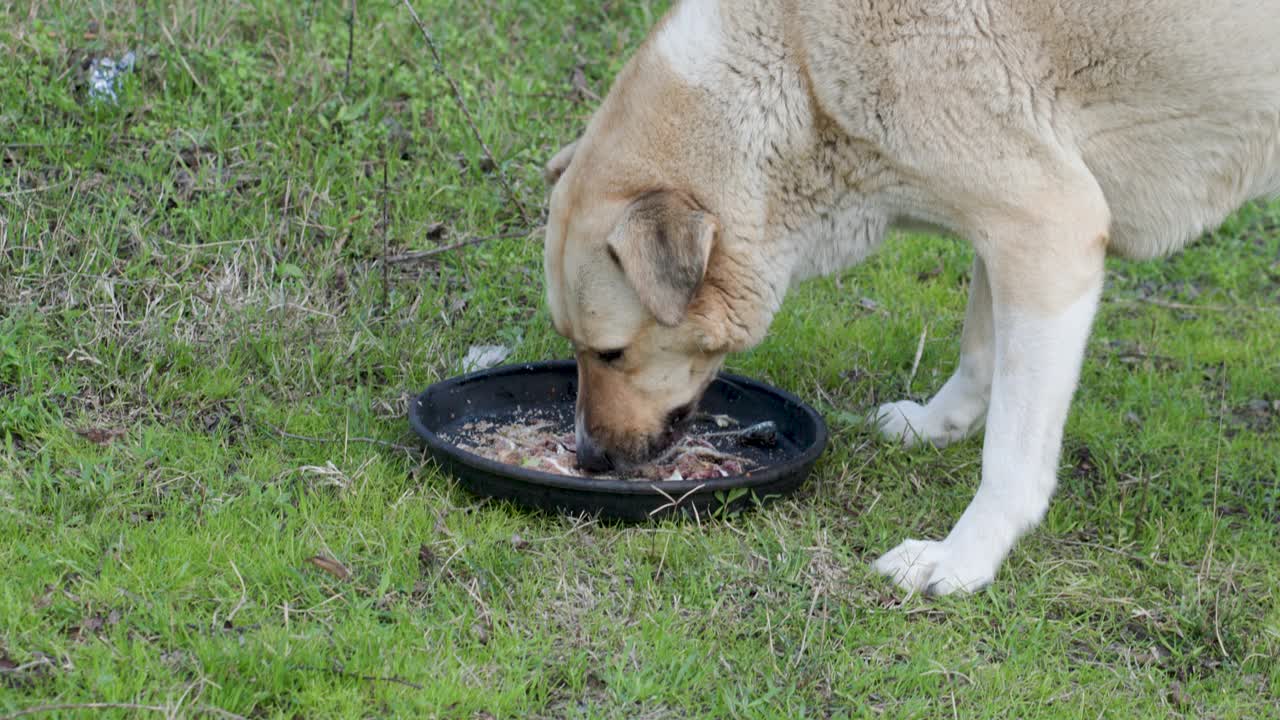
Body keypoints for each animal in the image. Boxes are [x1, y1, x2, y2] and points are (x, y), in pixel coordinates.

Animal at [540, 0, 1280, 591]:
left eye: (610, 353)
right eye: (575, 349)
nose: (588, 459)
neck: (798, 70)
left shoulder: (1051, 233)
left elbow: (1011, 454)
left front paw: (963, 560)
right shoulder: (1002, 233)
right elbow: (979, 355)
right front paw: (934, 425)